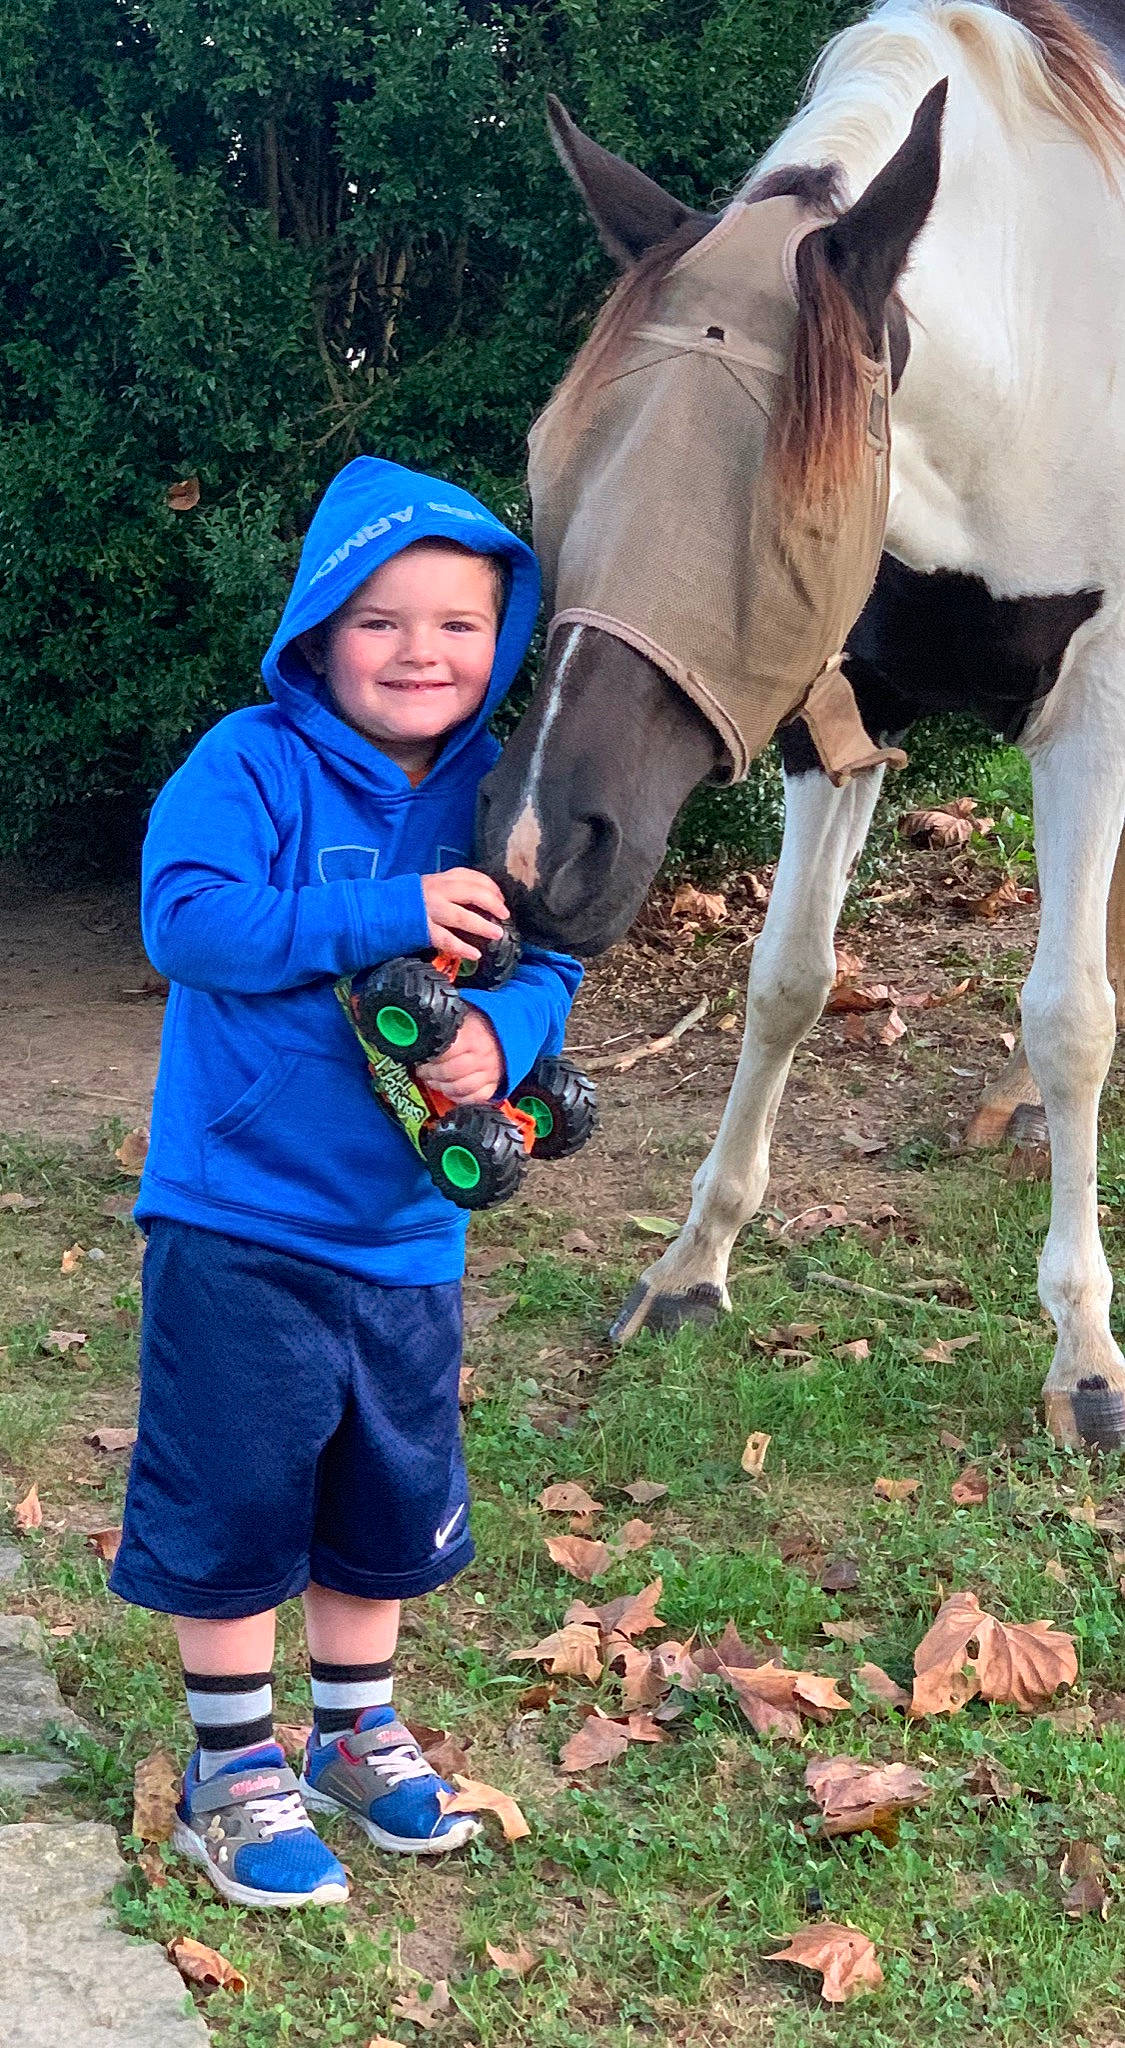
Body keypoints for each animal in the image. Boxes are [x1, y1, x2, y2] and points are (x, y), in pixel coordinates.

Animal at [476, 0, 1125, 1453]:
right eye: (553, 468)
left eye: (783, 516)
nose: (540, 855)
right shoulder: (840, 713)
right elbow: (785, 979)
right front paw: (693, 1263)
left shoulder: (1094, 704)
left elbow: (1070, 1013)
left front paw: (1084, 1353)